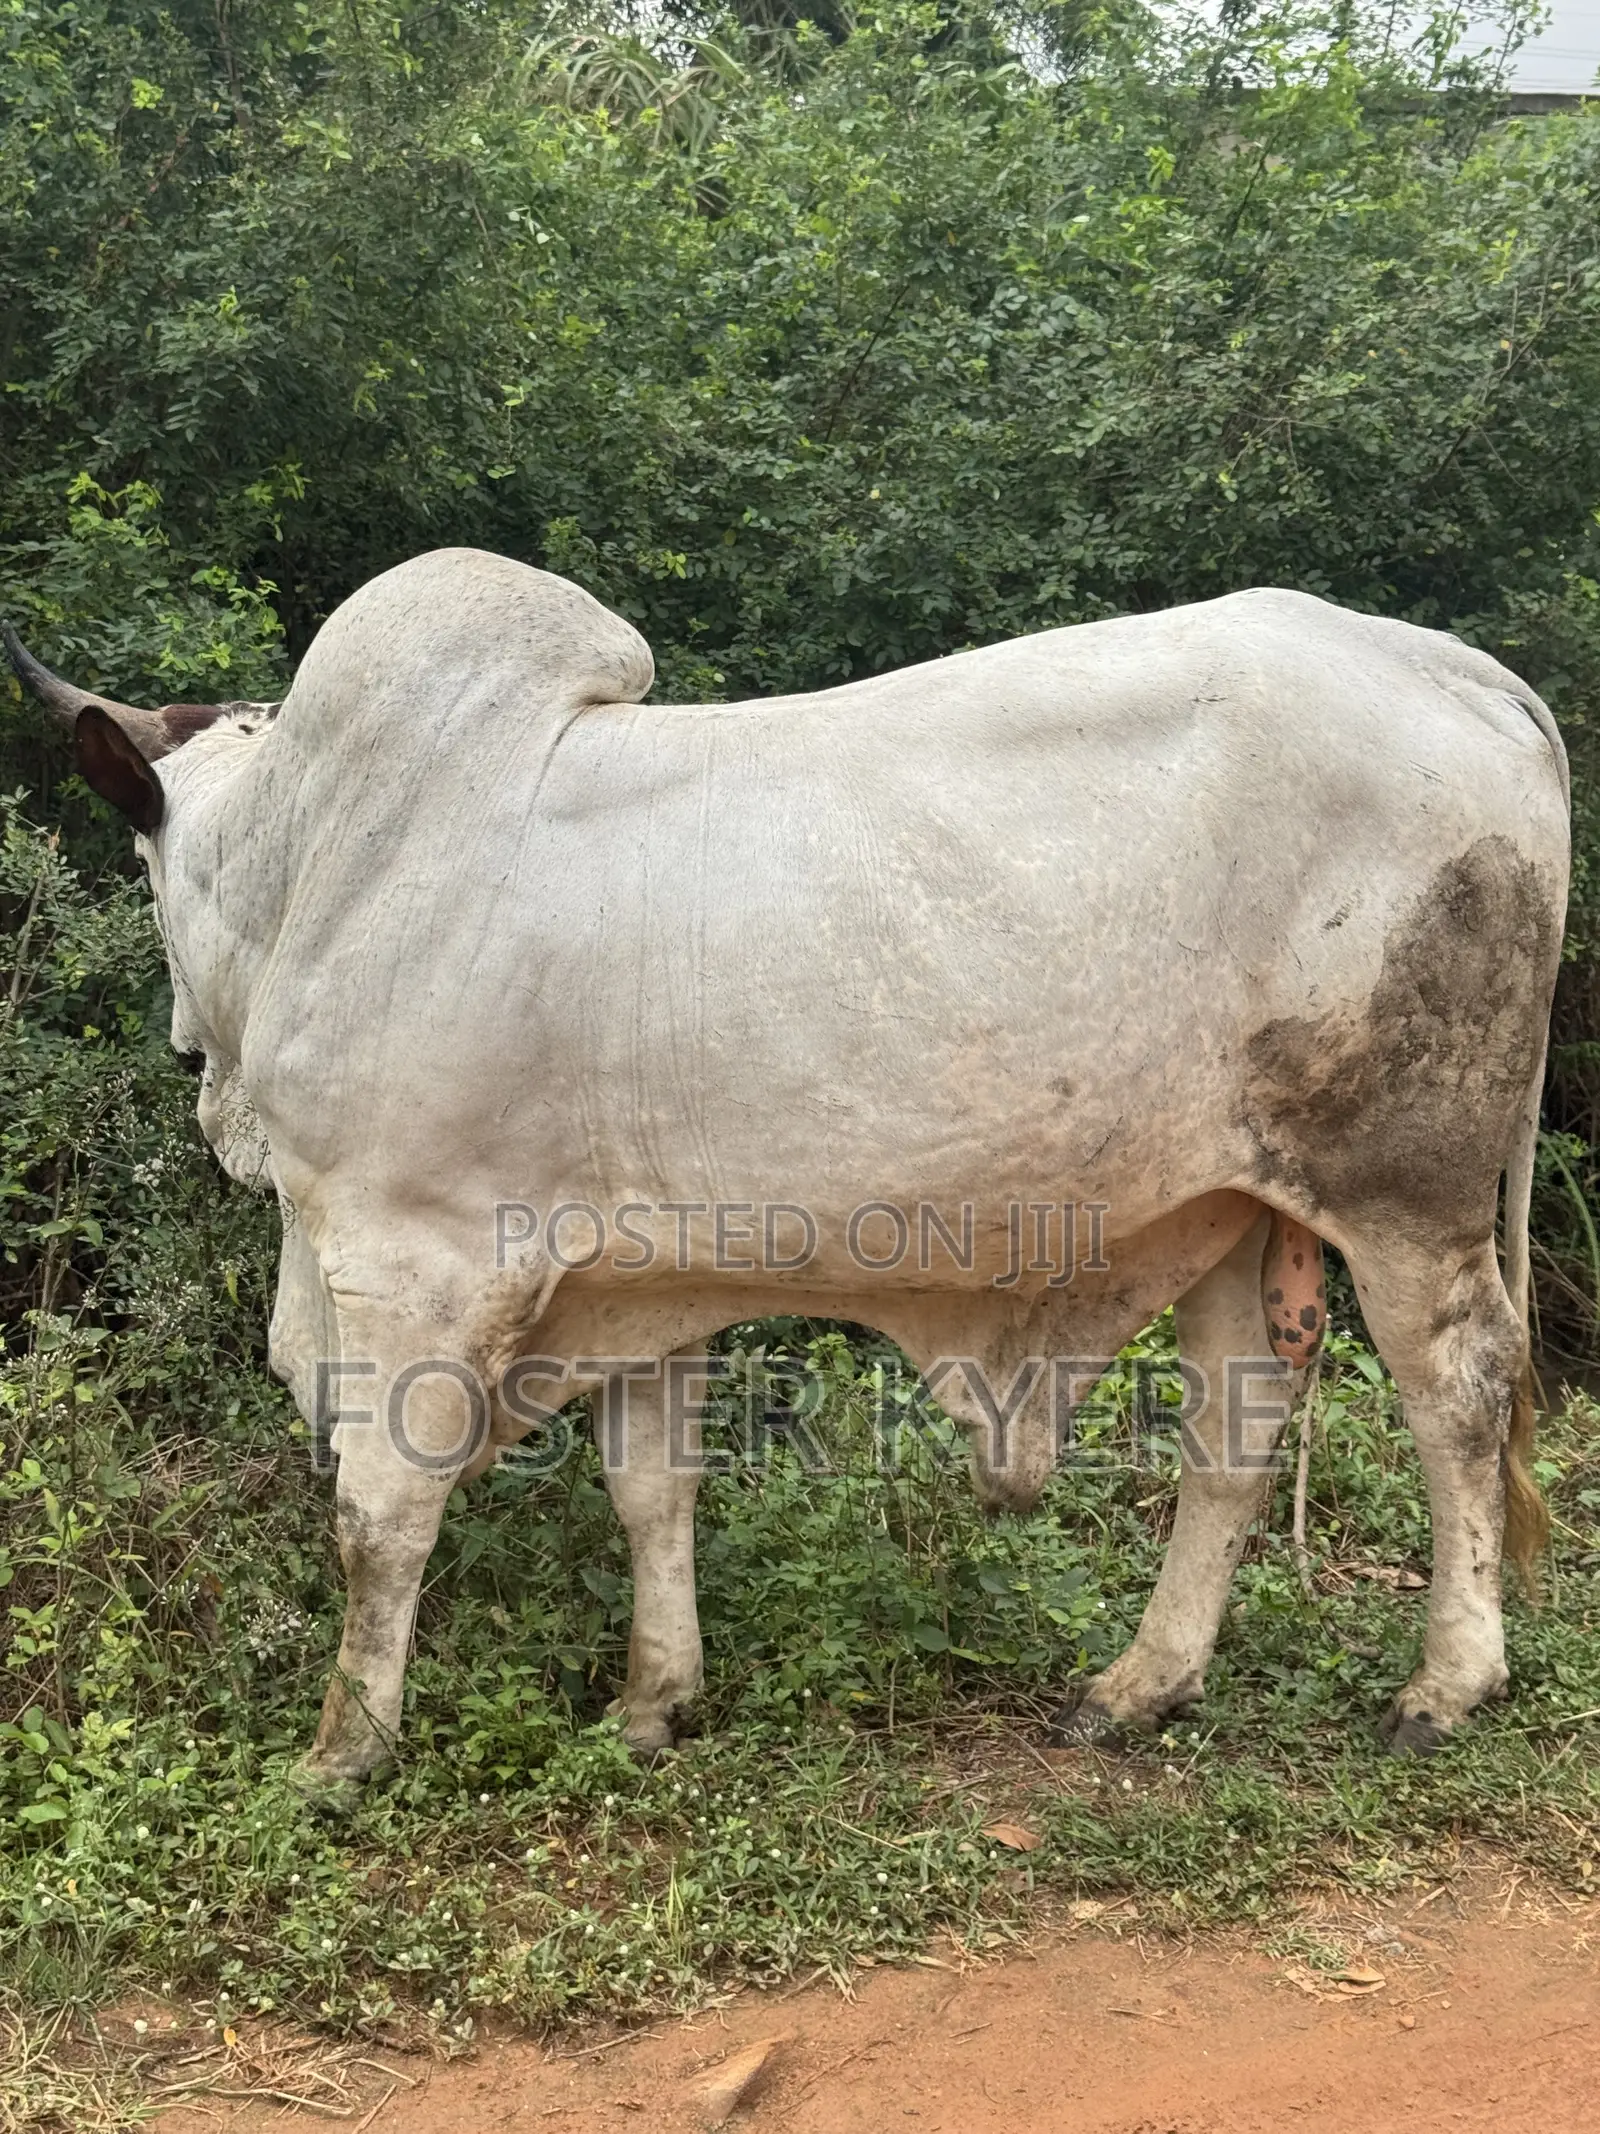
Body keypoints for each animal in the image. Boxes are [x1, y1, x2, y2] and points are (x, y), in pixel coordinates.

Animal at [8, 549, 1568, 1809]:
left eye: (144, 855)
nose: (180, 1034)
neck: (312, 867)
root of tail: (1464, 671)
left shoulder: (411, 1263)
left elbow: (379, 1516)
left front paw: (342, 1755)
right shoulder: (634, 1278)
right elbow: (650, 1491)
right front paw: (652, 1701)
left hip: (1409, 1187)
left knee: (1458, 1390)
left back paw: (1444, 1685)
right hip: (1235, 1206)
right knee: (1235, 1422)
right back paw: (1141, 1682)